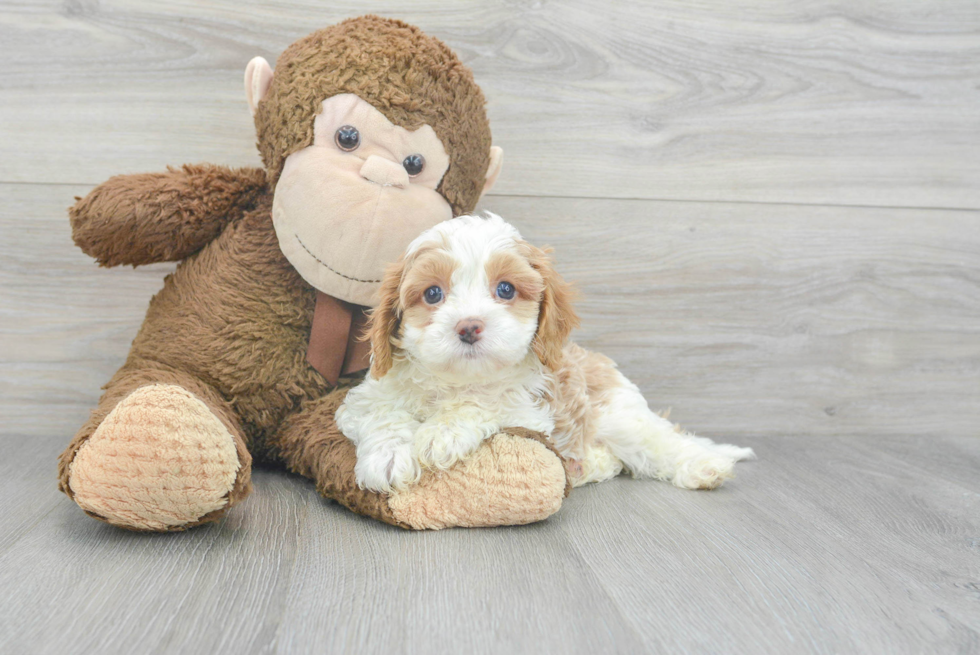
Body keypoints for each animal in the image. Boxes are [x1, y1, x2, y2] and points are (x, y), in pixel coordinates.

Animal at [334, 213, 756, 494]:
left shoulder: (530, 413)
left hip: (619, 417)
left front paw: (441, 433)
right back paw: (592, 465)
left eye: (505, 289)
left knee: (660, 442)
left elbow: (485, 404)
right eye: (433, 293)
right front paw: (387, 459)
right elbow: (383, 415)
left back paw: (705, 466)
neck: (456, 381)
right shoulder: (363, 399)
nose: (469, 326)